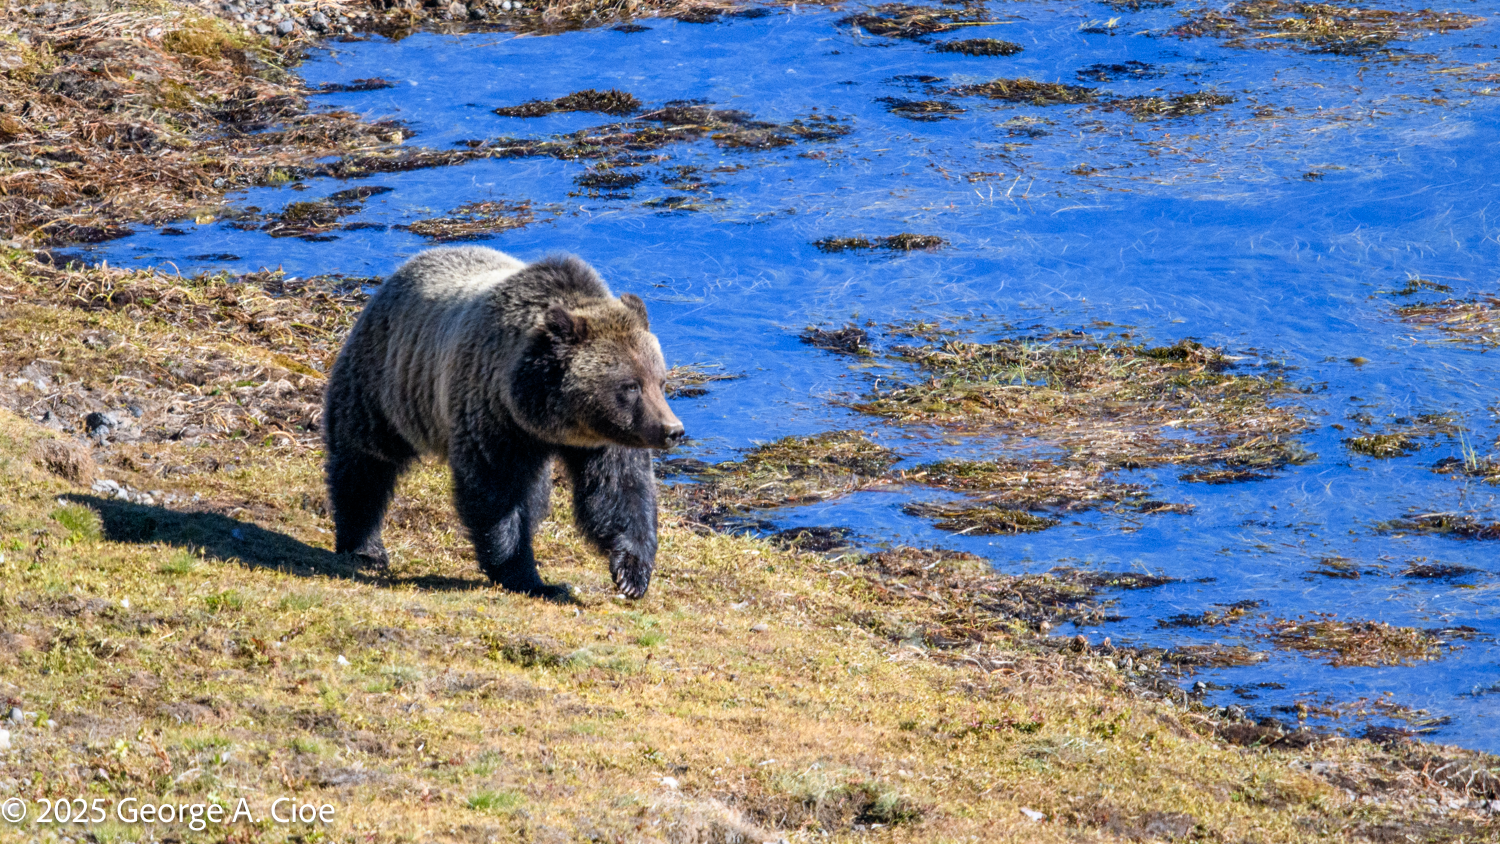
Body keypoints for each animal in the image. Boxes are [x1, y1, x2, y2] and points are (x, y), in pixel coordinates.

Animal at [321, 246, 684, 599]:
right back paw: (364, 547)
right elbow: (495, 495)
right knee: (364, 462)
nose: (673, 430)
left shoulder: (604, 440)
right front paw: (528, 577)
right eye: (630, 386)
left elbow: (619, 489)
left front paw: (631, 573)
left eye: (660, 381)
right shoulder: (492, 416)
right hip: (387, 384)